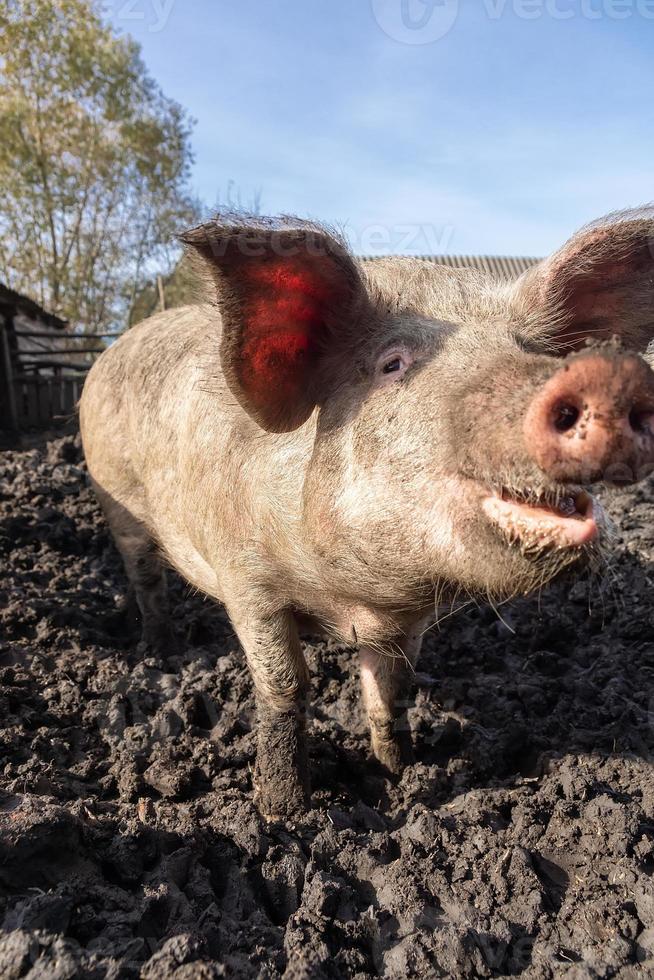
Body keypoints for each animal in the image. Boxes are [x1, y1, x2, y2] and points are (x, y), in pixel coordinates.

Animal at [79, 207, 654, 820]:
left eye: (535, 352)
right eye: (392, 364)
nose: (595, 380)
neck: (357, 600)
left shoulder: (409, 620)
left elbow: (392, 690)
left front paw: (398, 773)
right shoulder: (248, 579)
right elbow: (284, 686)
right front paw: (283, 812)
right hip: (117, 500)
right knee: (146, 580)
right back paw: (162, 654)